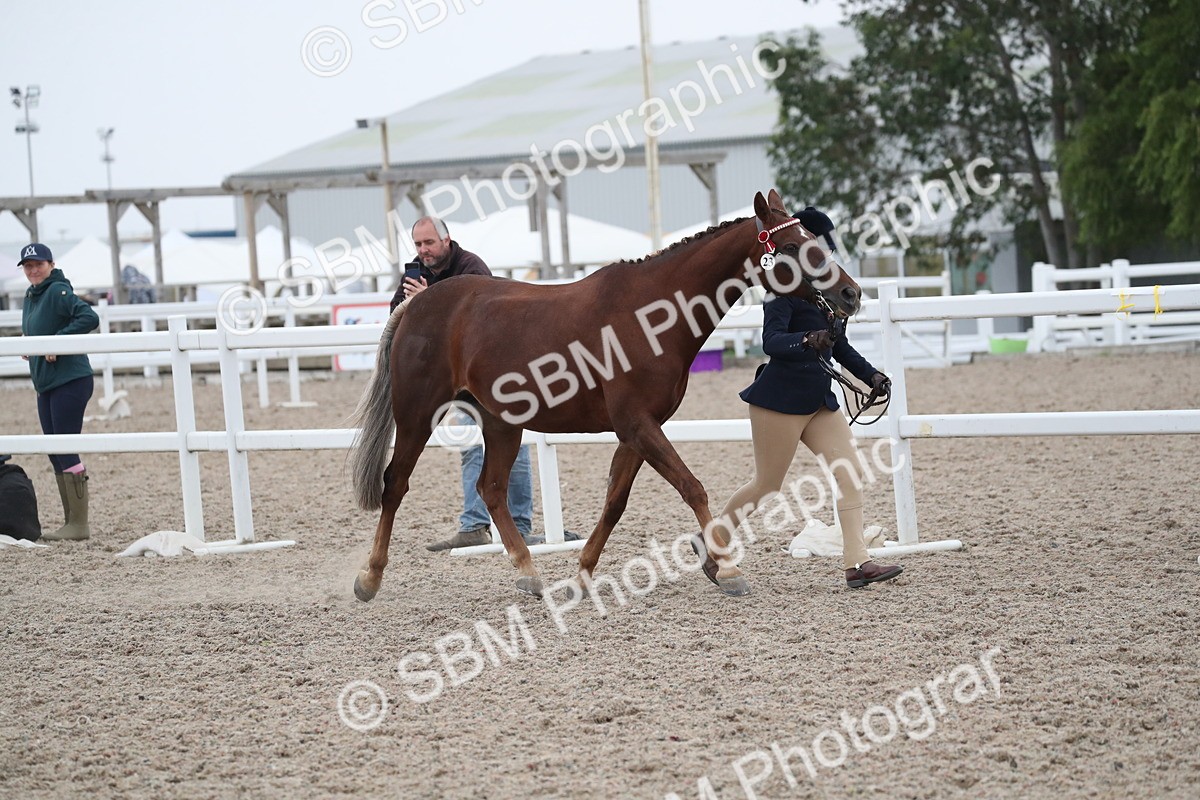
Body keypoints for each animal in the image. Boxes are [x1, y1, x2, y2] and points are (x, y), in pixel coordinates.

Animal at [348, 189, 862, 601]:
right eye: (792, 246)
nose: (851, 294)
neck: (651, 316)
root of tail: (418, 301)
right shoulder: (638, 424)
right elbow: (692, 487)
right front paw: (730, 570)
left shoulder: (636, 431)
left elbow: (615, 503)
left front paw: (580, 577)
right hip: (417, 415)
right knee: (396, 484)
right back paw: (370, 578)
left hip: (501, 423)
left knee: (490, 488)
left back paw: (529, 573)